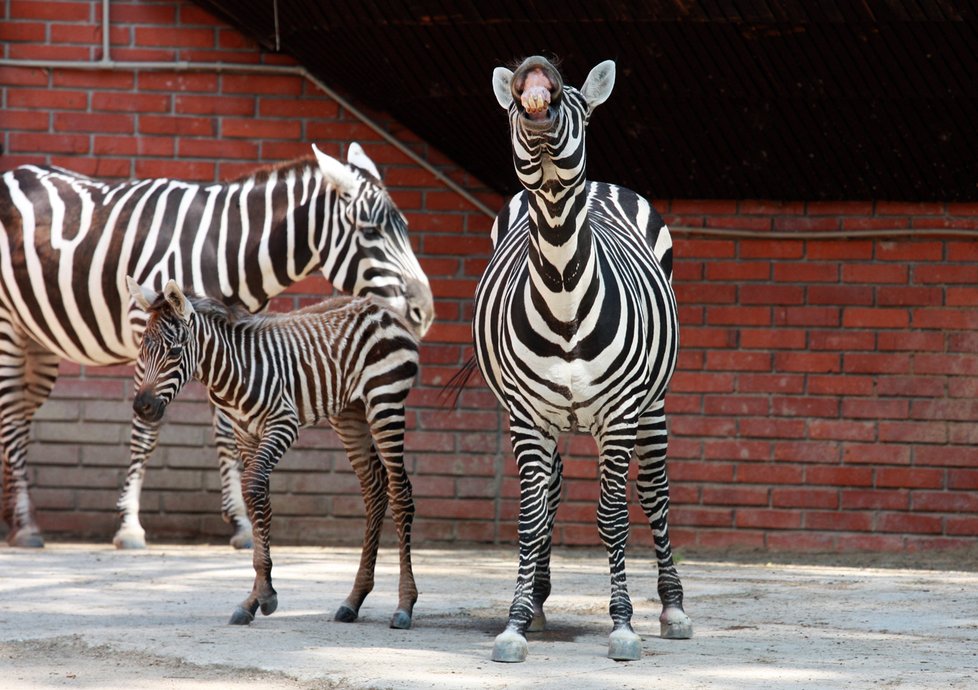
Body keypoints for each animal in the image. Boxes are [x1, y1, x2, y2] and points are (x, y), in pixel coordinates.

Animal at [0, 142, 434, 544]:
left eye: (406, 227)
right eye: (370, 231)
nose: (425, 312)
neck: (227, 249)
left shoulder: (227, 347)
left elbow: (226, 430)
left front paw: (240, 522)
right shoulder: (148, 328)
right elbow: (146, 431)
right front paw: (129, 525)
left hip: (36, 341)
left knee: (17, 416)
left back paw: (15, 518)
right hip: (6, 326)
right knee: (10, 417)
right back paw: (26, 526)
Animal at [126, 276, 420, 628]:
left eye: (174, 351)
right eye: (143, 349)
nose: (142, 407)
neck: (233, 372)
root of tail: (380, 306)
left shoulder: (283, 423)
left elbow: (254, 491)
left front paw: (264, 595)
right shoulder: (244, 435)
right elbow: (258, 503)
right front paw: (255, 598)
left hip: (385, 402)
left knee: (400, 491)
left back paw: (404, 605)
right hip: (349, 413)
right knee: (374, 488)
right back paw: (354, 599)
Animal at [470, 55, 688, 660]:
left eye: (570, 98)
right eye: (515, 104)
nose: (533, 71)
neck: (563, 294)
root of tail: (603, 184)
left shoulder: (619, 416)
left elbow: (612, 517)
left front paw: (623, 624)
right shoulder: (526, 417)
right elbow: (531, 516)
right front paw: (517, 621)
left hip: (653, 407)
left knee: (655, 494)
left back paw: (673, 607)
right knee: (550, 494)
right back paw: (540, 601)